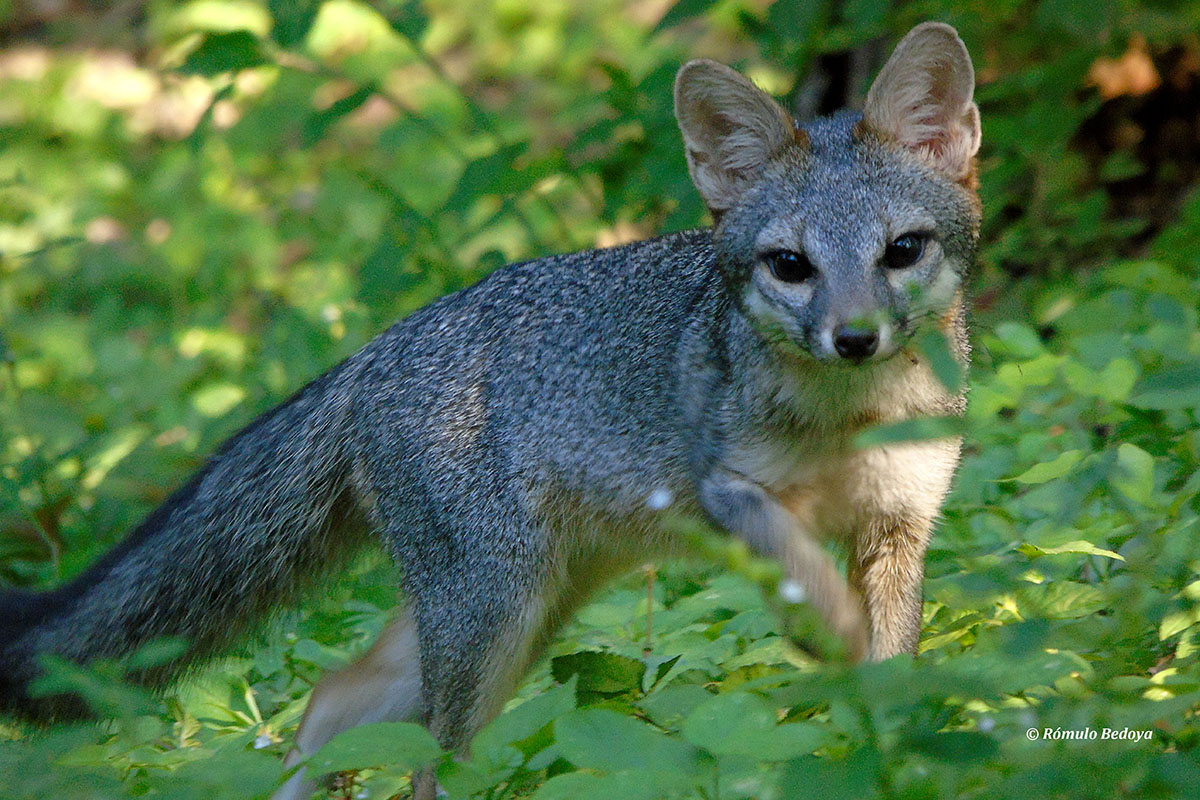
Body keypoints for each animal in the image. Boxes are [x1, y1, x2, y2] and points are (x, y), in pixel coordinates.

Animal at [0, 21, 974, 796]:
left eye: (901, 250)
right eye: (791, 266)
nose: (855, 338)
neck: (850, 420)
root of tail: (369, 353)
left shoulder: (900, 528)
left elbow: (897, 676)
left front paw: (895, 749)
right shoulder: (728, 492)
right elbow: (799, 568)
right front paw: (827, 631)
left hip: (514, 616)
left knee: (332, 703)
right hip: (490, 621)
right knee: (423, 763)